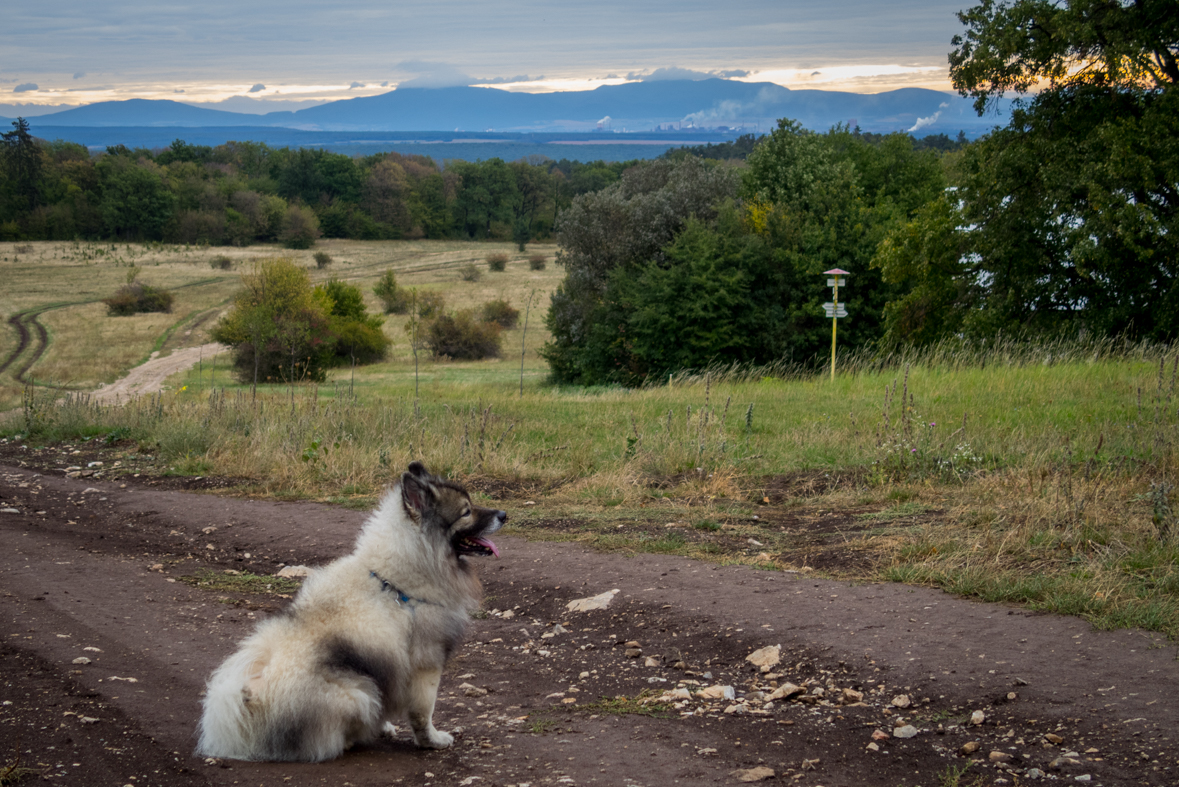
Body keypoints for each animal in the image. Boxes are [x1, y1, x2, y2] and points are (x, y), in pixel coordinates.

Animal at [194, 464, 506, 758]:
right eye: (466, 512)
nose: (503, 514)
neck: (395, 582)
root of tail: (249, 696)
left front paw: (389, 726)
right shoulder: (426, 663)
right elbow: (423, 713)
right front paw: (432, 740)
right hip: (360, 692)